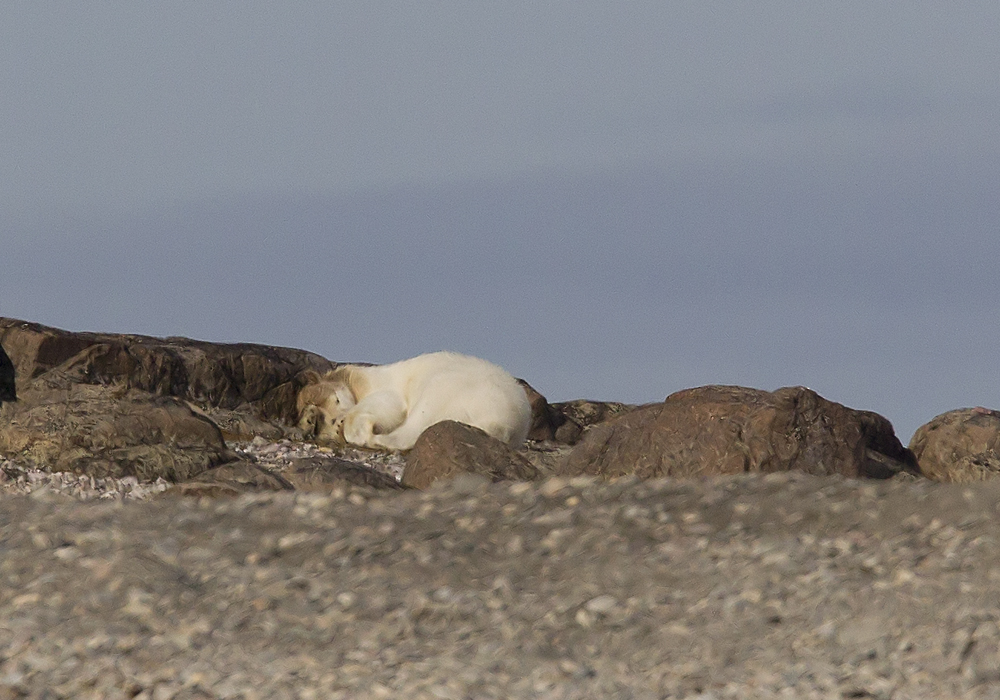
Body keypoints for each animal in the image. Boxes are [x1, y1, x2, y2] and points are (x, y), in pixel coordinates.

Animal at [294, 352, 532, 452]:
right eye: (326, 419)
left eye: (336, 398)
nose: (339, 421)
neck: (362, 382)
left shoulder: (389, 389)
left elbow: (388, 406)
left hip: (449, 387)